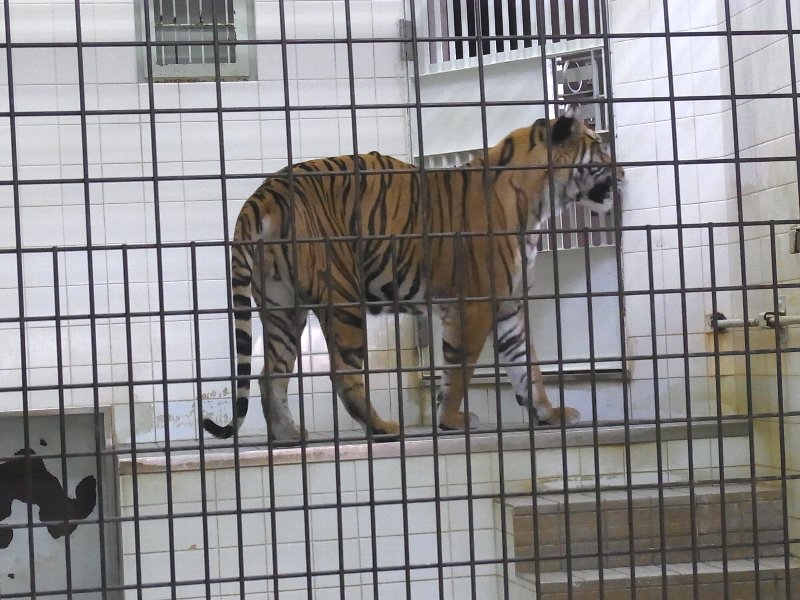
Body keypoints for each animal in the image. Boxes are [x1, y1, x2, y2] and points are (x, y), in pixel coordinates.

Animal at [203, 108, 620, 442]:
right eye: (599, 147)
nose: (622, 173)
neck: (540, 200)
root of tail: (266, 190)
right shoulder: (474, 305)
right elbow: (459, 369)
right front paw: (451, 420)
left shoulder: (509, 305)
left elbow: (527, 367)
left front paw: (549, 414)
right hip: (342, 297)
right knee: (342, 372)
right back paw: (382, 428)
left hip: (282, 306)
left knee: (270, 373)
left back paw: (288, 434)